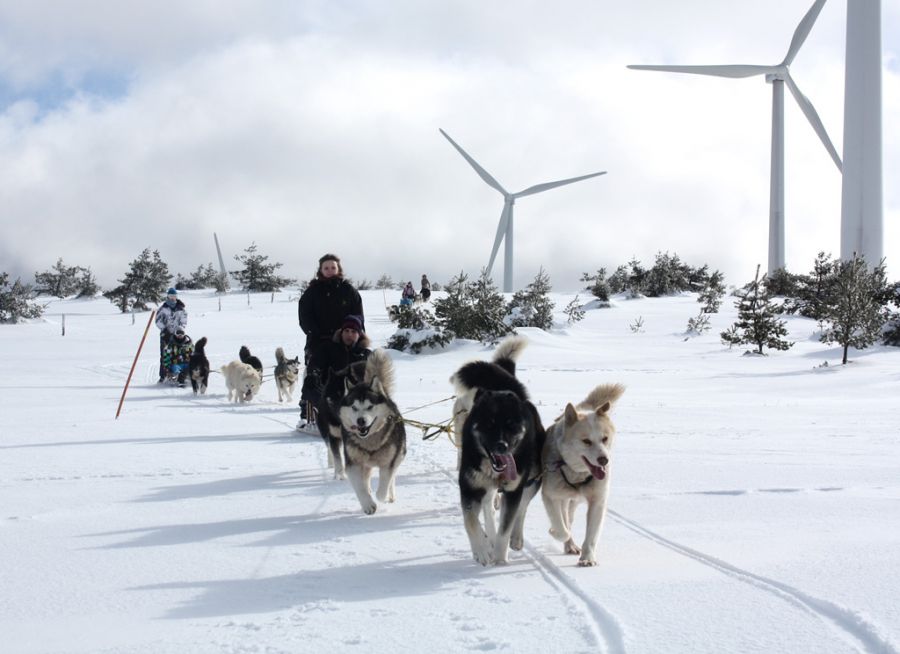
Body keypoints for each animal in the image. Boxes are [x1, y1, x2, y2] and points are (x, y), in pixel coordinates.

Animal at [454, 336, 544, 568]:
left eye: (511, 425)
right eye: (489, 425)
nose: (502, 446)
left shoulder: (513, 490)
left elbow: (507, 525)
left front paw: (500, 557)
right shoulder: (469, 488)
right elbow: (470, 522)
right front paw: (482, 551)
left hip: (533, 477)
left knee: (522, 508)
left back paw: (516, 538)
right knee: (488, 507)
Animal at [540, 386, 624, 568]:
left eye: (605, 438)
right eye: (586, 441)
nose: (604, 460)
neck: (577, 473)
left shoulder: (597, 501)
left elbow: (591, 535)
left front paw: (587, 557)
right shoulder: (550, 496)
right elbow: (561, 528)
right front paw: (554, 531)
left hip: (573, 501)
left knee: (569, 518)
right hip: (564, 498)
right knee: (565, 521)